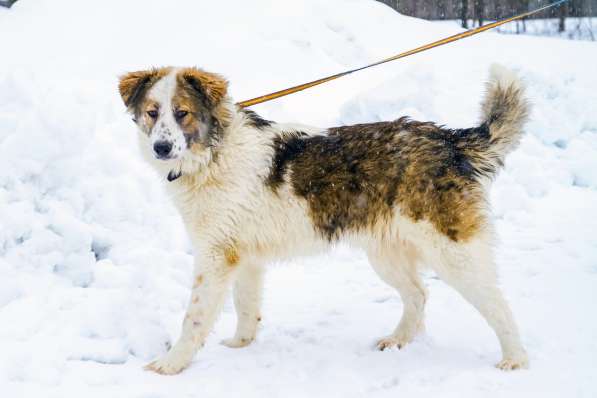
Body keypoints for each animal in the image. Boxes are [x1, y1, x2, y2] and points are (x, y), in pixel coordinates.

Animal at [118, 63, 528, 374]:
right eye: (152, 113)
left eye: (182, 113)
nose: (161, 147)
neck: (214, 155)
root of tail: (449, 141)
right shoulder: (243, 257)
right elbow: (246, 307)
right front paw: (241, 344)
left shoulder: (215, 257)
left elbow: (195, 317)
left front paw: (171, 364)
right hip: (387, 253)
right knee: (418, 294)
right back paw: (398, 339)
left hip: (453, 251)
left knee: (498, 303)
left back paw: (515, 359)